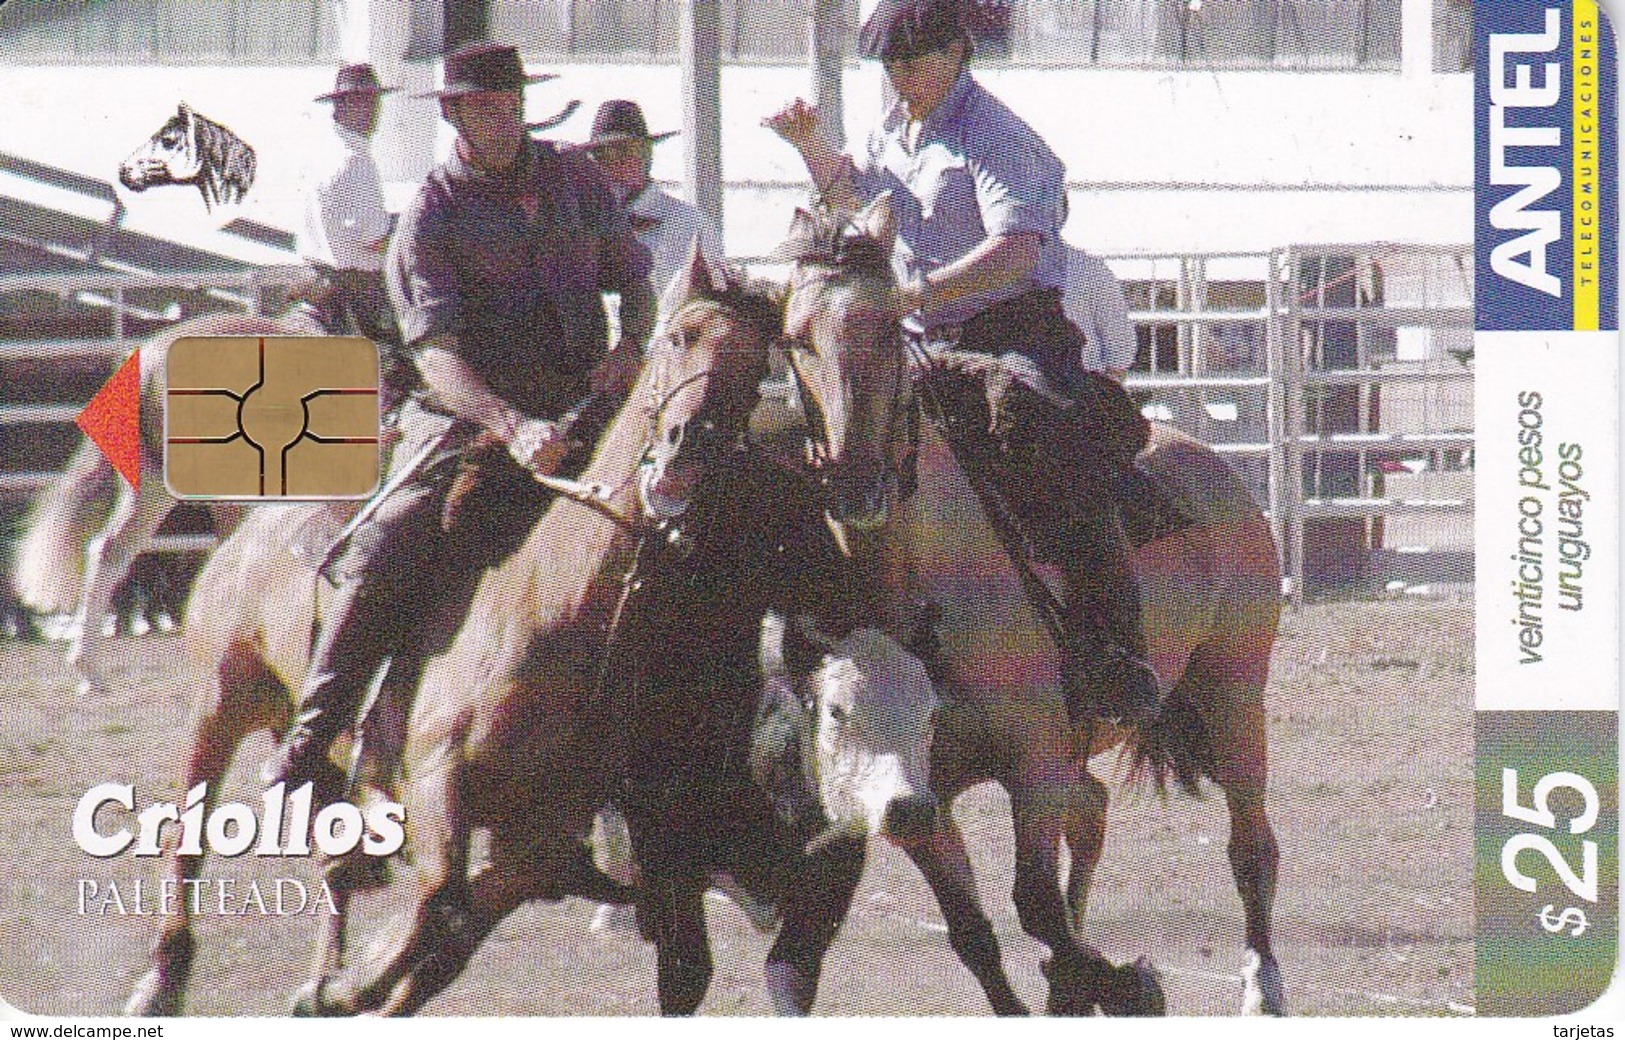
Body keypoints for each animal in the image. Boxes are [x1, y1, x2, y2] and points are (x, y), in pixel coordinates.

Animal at [773, 195, 1280, 1014]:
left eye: (885, 329)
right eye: (793, 340)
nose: (853, 483)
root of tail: (1210, 463)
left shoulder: (1034, 761)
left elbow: (1034, 904)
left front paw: (1127, 985)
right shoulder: (920, 795)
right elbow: (974, 931)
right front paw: (1080, 982)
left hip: (1232, 689)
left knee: (1250, 847)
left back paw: (1261, 988)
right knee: (1095, 812)